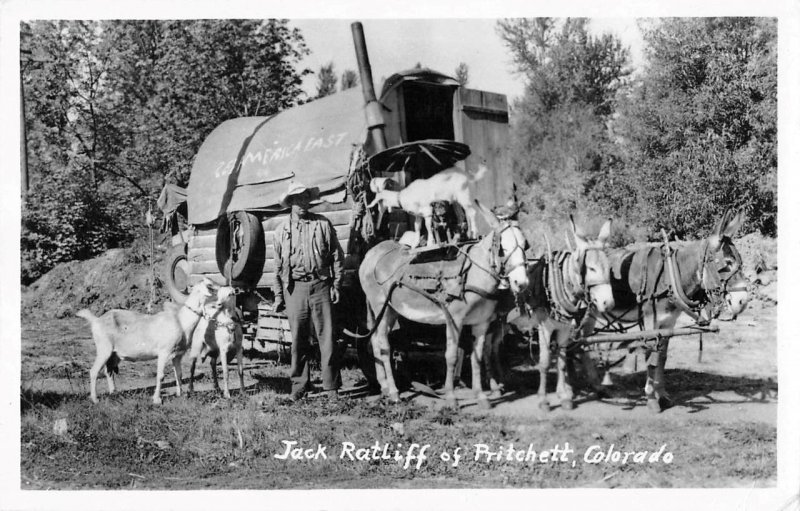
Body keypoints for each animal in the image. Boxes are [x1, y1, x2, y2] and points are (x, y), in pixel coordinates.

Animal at [77, 278, 216, 406]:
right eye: (210, 285)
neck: (180, 321)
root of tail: (96, 320)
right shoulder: (164, 353)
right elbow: (161, 375)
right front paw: (157, 400)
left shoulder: (177, 355)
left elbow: (179, 374)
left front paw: (180, 395)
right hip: (104, 349)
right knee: (94, 371)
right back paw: (95, 399)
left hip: (114, 354)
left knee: (109, 370)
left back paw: (114, 393)